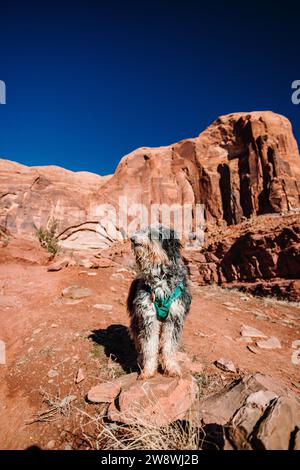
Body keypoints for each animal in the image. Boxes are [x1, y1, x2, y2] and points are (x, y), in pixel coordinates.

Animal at [127, 223, 192, 378]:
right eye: (141, 230)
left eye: (151, 234)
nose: (132, 238)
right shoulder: (148, 316)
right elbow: (149, 346)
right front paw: (148, 370)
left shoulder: (174, 318)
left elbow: (169, 346)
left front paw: (171, 367)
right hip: (136, 321)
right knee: (139, 341)